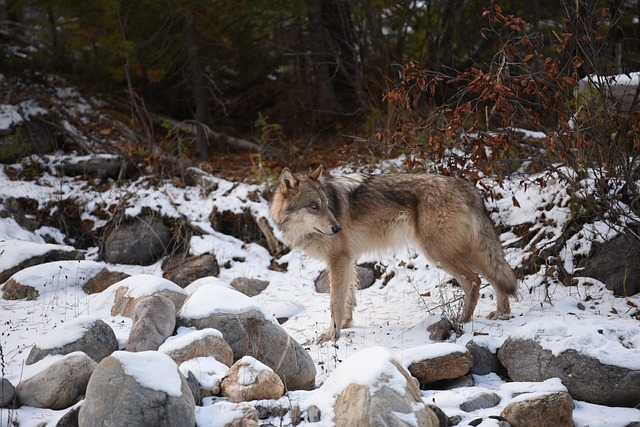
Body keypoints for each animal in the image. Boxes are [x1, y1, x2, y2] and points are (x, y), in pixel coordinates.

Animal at [268, 166, 516, 342]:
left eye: (326, 205)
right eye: (313, 206)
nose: (337, 228)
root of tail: (468, 187)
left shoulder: (338, 260)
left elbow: (334, 302)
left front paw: (331, 336)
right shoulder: (347, 260)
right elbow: (348, 297)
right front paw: (346, 325)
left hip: (439, 253)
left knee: (474, 282)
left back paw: (462, 320)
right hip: (467, 251)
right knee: (498, 277)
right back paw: (502, 315)